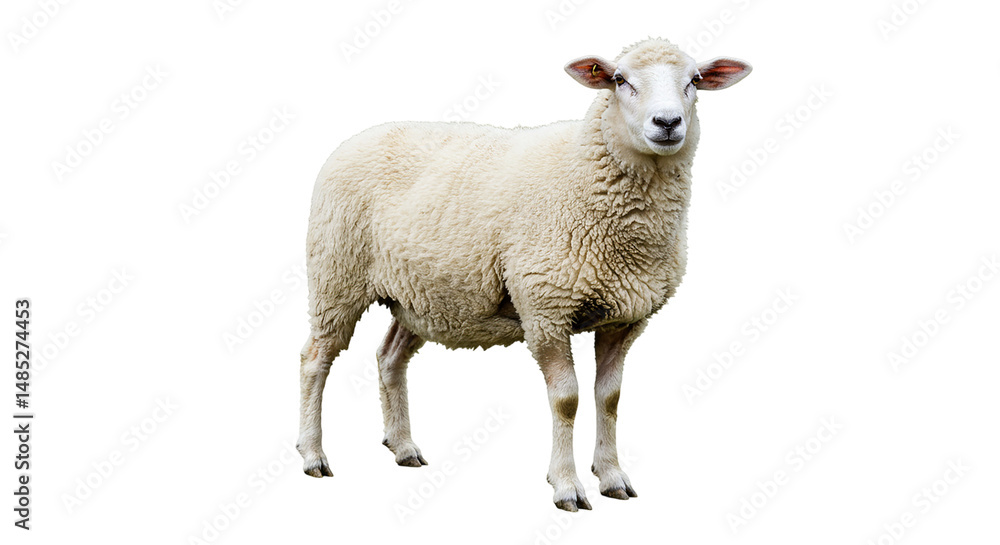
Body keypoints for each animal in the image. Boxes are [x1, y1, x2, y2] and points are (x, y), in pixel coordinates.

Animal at [297, 38, 751, 511]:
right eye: (620, 80)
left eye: (694, 80)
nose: (667, 123)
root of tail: (357, 137)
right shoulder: (545, 309)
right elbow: (567, 399)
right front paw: (566, 485)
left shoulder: (625, 317)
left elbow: (609, 398)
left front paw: (611, 477)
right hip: (336, 276)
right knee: (315, 359)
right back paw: (313, 454)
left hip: (420, 295)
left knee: (389, 357)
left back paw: (403, 446)